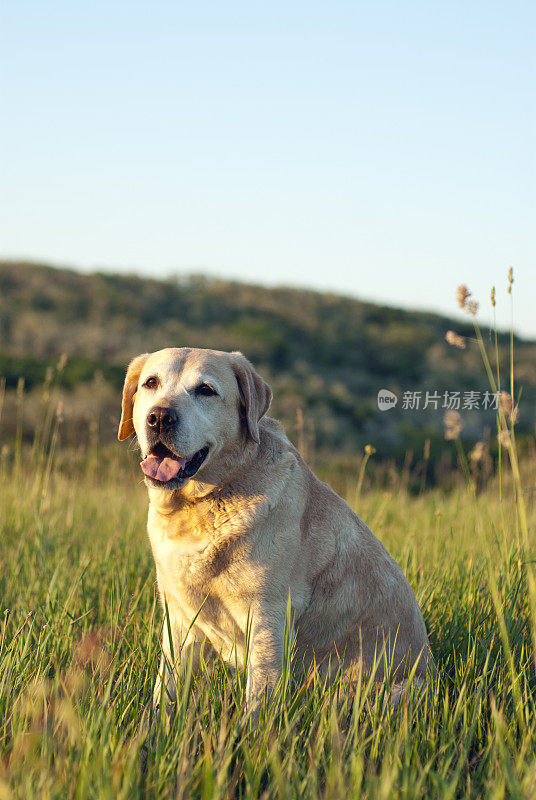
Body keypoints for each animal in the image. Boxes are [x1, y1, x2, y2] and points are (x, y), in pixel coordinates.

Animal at [118, 346, 432, 716]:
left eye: (206, 390)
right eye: (151, 383)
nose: (160, 417)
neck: (205, 502)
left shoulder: (268, 617)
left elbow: (257, 701)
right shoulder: (179, 619)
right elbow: (164, 691)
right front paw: (153, 727)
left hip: (391, 690)